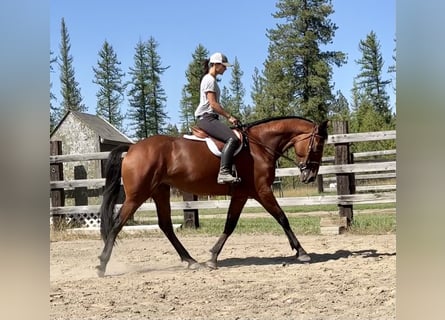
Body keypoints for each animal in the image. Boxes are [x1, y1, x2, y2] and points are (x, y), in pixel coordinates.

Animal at [95, 116, 328, 276]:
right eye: (317, 145)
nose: (309, 176)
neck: (259, 145)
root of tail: (133, 147)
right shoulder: (261, 191)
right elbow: (282, 217)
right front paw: (302, 252)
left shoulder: (242, 194)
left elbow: (230, 224)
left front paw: (213, 257)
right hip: (137, 195)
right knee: (118, 224)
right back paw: (102, 264)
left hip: (159, 191)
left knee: (166, 226)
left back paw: (191, 260)